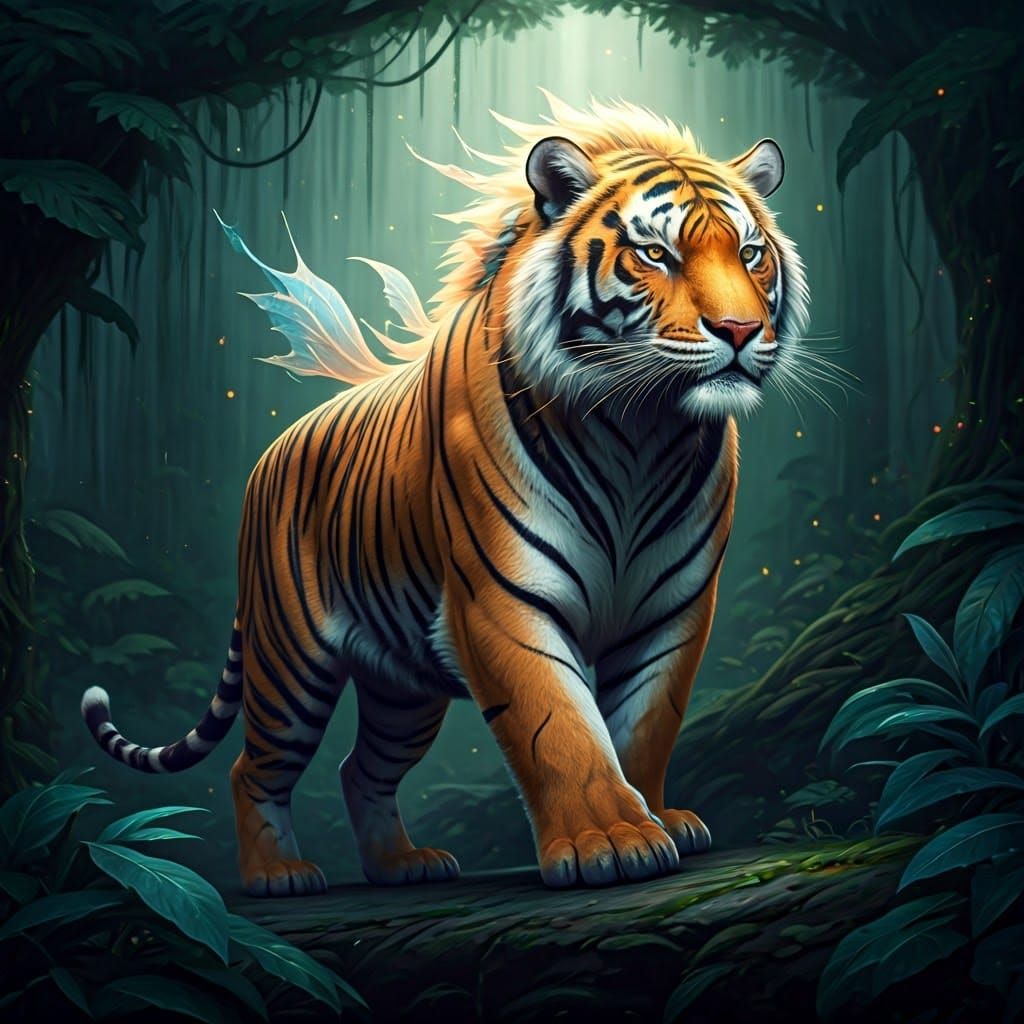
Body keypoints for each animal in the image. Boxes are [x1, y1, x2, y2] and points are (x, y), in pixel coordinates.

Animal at [82, 93, 808, 897]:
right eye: (656, 255)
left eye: (750, 253)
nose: (741, 329)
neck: (641, 432)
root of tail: (271, 450)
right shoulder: (502, 600)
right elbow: (560, 726)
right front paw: (612, 840)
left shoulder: (673, 610)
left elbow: (646, 725)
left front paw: (657, 817)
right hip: (288, 659)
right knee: (252, 767)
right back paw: (278, 873)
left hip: (404, 687)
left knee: (359, 768)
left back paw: (403, 864)